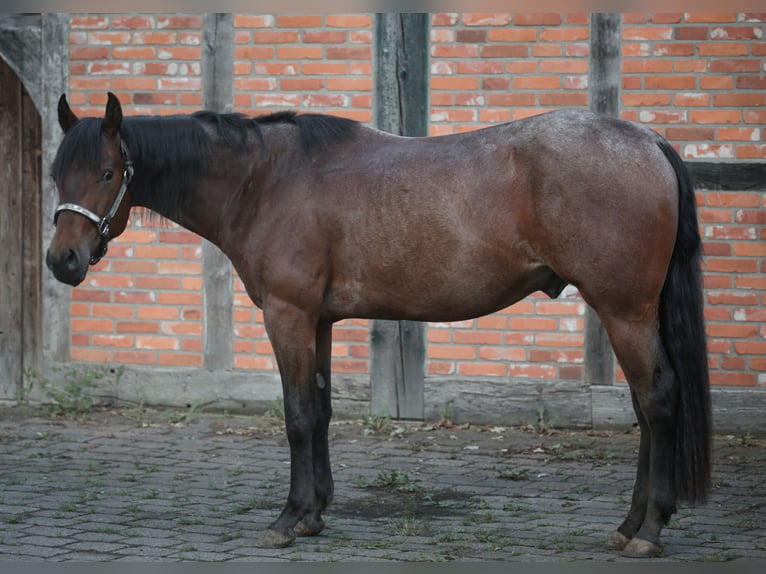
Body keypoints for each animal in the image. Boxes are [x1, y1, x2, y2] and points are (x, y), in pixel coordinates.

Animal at [47, 92, 711, 558]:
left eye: (107, 173)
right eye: (57, 174)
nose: (63, 261)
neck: (265, 180)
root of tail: (648, 140)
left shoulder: (287, 315)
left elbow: (296, 417)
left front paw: (287, 519)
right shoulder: (317, 319)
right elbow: (319, 410)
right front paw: (314, 514)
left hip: (623, 310)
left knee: (657, 401)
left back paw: (649, 530)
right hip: (629, 313)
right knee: (645, 406)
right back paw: (630, 525)